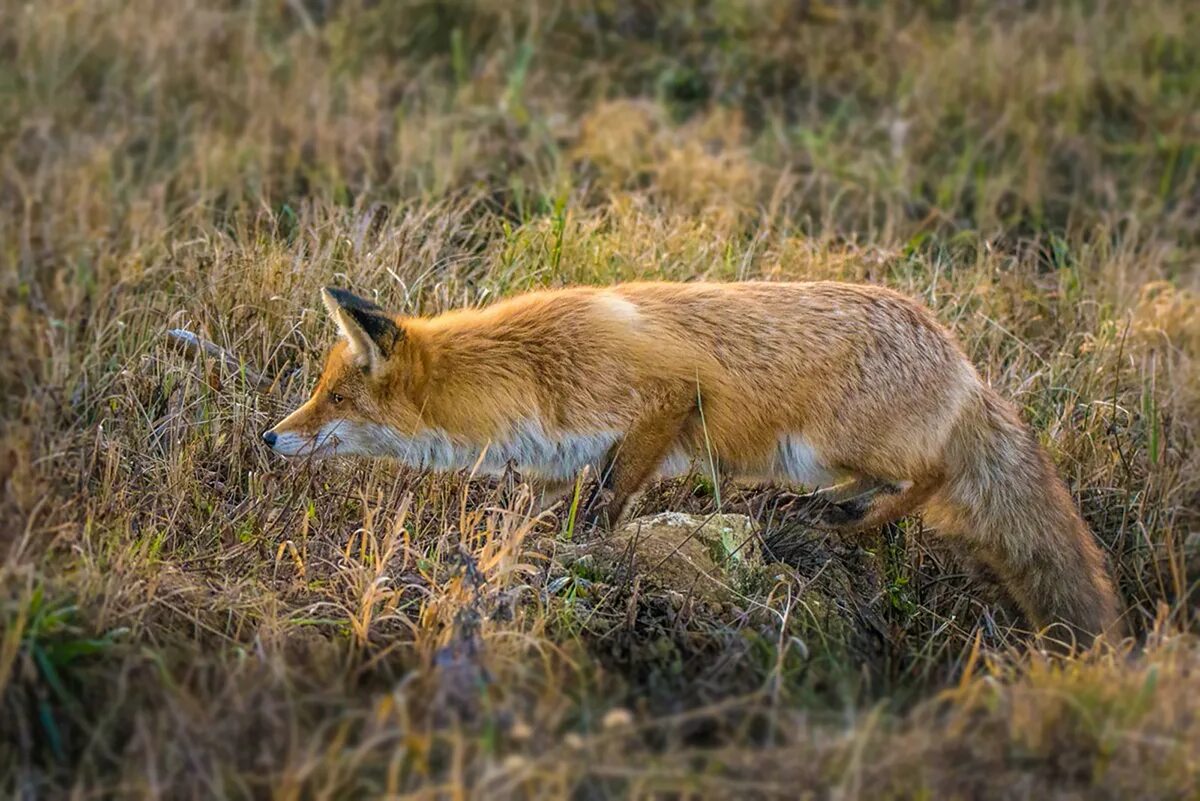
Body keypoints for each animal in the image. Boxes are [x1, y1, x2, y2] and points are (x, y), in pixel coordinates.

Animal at [265, 282, 1123, 642]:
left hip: (834, 442)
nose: (270, 437)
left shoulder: (667, 401)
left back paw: (839, 520)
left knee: (930, 478)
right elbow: (554, 507)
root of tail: (963, 360)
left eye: (334, 398)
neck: (530, 368)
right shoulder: (562, 455)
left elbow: (605, 505)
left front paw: (585, 550)